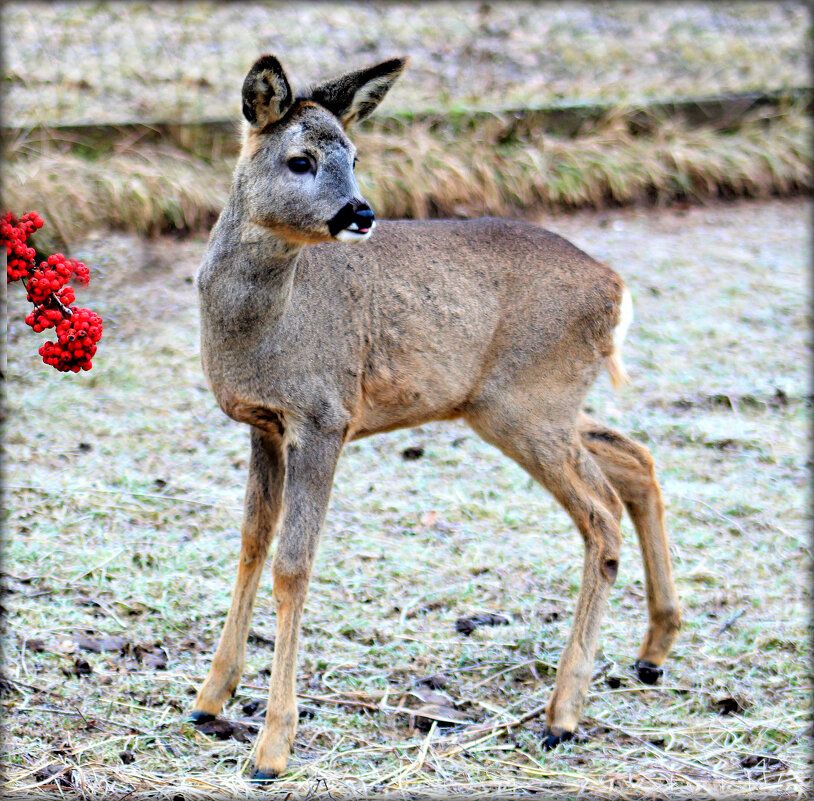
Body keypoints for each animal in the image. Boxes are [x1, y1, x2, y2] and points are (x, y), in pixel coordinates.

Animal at [191, 53, 684, 780]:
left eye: (355, 155)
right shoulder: (263, 423)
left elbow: (293, 563)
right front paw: (208, 698)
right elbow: (253, 541)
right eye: (301, 159)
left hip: (527, 403)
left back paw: (563, 713)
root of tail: (615, 287)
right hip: (534, 402)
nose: (360, 212)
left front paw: (272, 746)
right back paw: (652, 651)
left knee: (601, 512)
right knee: (635, 458)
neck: (263, 328)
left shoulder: (325, 415)